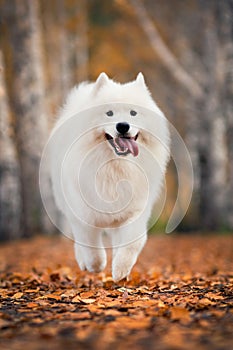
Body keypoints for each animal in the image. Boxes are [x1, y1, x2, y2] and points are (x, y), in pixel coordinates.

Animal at [49, 73, 169, 282]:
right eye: (109, 113)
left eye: (133, 113)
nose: (123, 126)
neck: (115, 167)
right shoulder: (84, 213)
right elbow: (90, 245)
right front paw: (96, 265)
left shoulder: (135, 210)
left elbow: (132, 243)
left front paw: (120, 270)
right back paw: (84, 263)